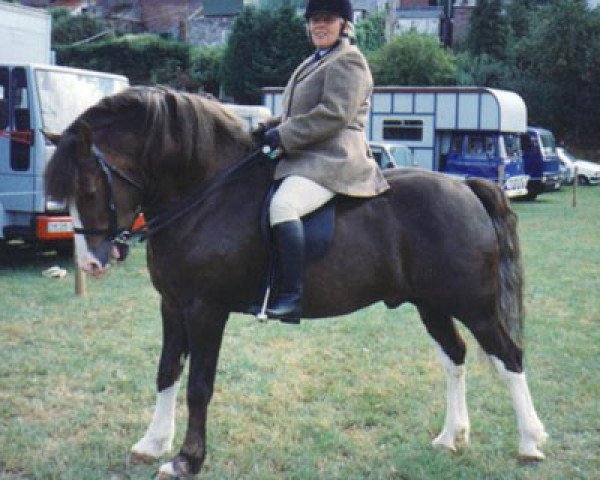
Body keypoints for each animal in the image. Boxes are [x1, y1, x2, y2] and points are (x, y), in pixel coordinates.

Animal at [43, 85, 548, 476]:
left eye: (89, 188)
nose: (91, 264)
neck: (206, 193)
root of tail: (464, 187)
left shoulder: (206, 309)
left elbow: (199, 384)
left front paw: (187, 460)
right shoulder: (172, 304)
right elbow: (167, 370)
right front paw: (151, 445)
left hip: (473, 305)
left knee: (509, 356)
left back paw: (529, 443)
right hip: (432, 304)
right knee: (455, 356)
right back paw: (450, 437)